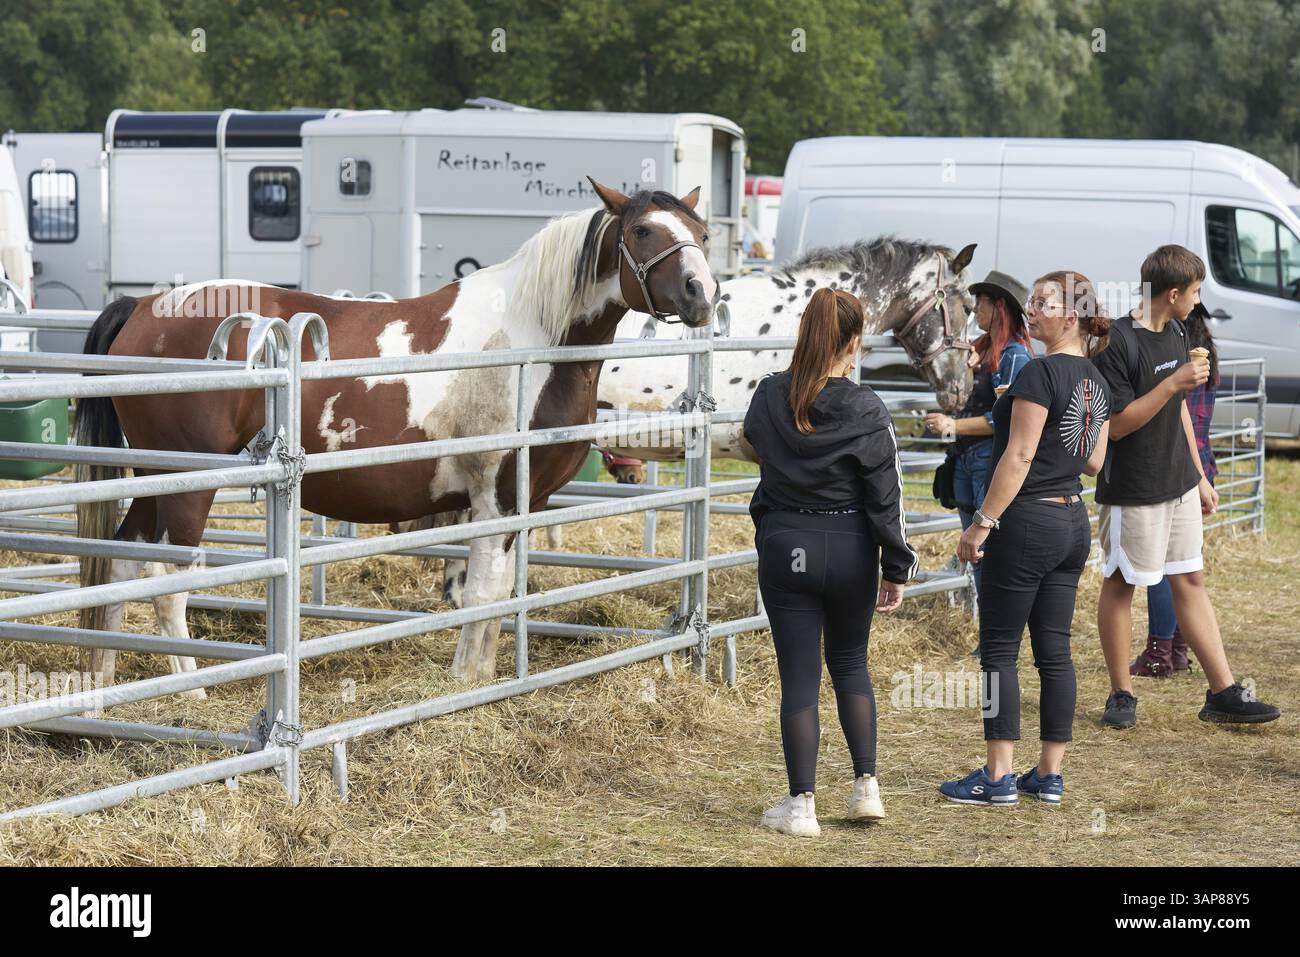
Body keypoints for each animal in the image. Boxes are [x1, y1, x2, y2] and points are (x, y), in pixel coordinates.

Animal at [74, 178, 717, 689]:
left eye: (702, 232)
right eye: (641, 230)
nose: (702, 294)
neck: (530, 340)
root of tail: (143, 308)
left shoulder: (524, 503)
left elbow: (497, 595)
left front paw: (484, 677)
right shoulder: (494, 499)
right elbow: (480, 595)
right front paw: (464, 684)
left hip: (154, 478)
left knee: (122, 563)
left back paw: (104, 676)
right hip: (189, 483)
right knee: (167, 579)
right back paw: (193, 690)